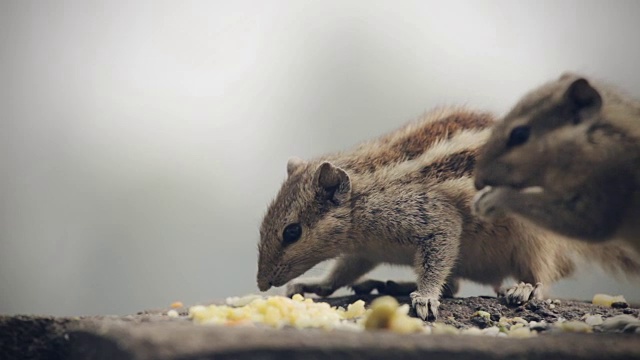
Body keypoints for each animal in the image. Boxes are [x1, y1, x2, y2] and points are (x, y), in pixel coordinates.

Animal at [256, 107, 640, 320]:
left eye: (292, 232)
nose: (261, 284)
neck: (364, 198)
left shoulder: (432, 218)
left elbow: (438, 251)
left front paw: (426, 296)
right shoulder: (364, 250)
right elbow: (343, 270)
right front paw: (315, 284)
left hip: (534, 237)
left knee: (541, 276)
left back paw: (524, 289)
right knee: (454, 285)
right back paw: (392, 283)